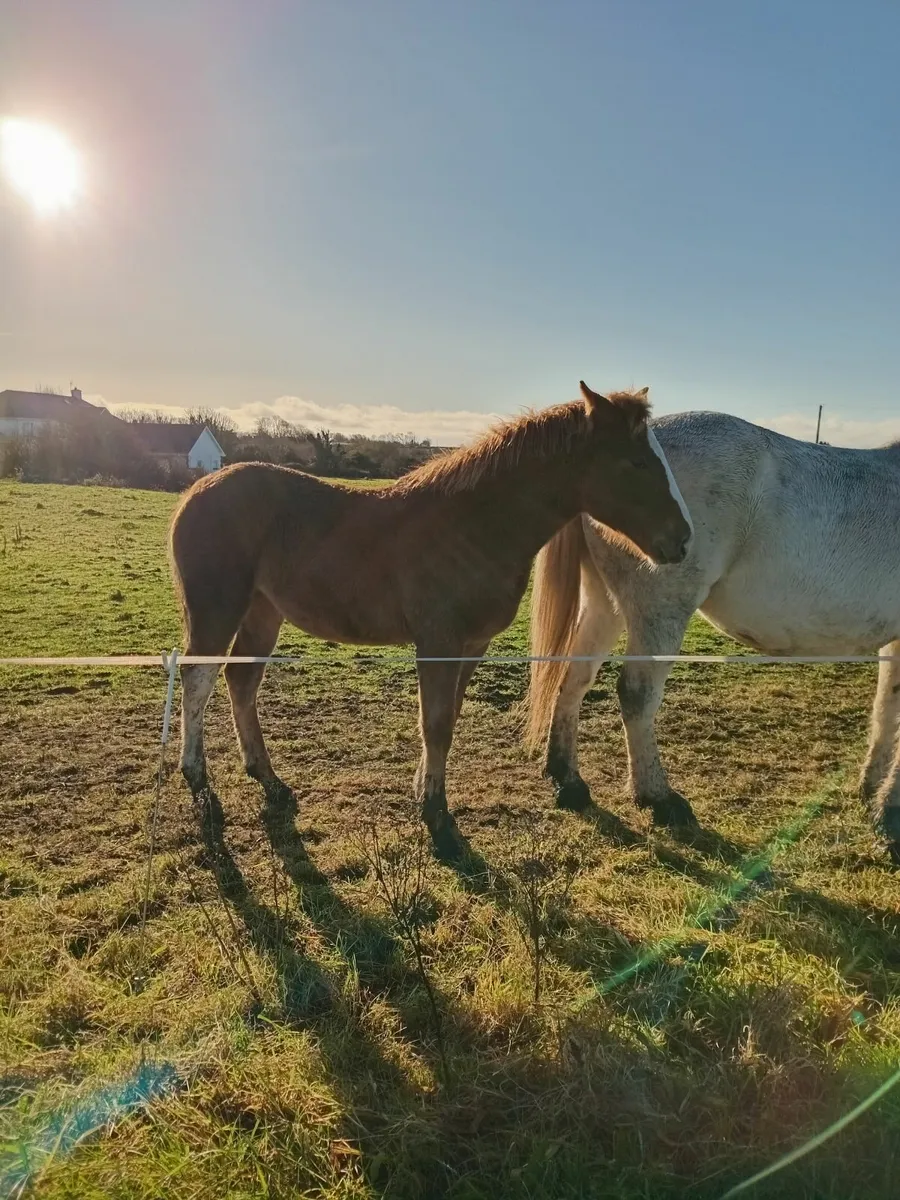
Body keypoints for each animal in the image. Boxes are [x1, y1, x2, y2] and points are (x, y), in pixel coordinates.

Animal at [169, 382, 692, 853]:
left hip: (263, 612)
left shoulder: (471, 645)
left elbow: (449, 718)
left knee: (241, 681)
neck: (471, 526)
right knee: (197, 679)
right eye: (636, 462)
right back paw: (198, 781)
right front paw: (438, 820)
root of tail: (197, 489)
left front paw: (425, 794)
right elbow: (435, 723)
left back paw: (269, 778)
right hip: (217, 609)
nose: (683, 540)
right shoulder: (438, 641)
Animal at [527, 409, 900, 863]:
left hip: (604, 603)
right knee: (636, 694)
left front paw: (872, 791)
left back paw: (568, 781)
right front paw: (891, 813)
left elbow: (885, 708)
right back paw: (659, 799)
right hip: (662, 609)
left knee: (574, 679)